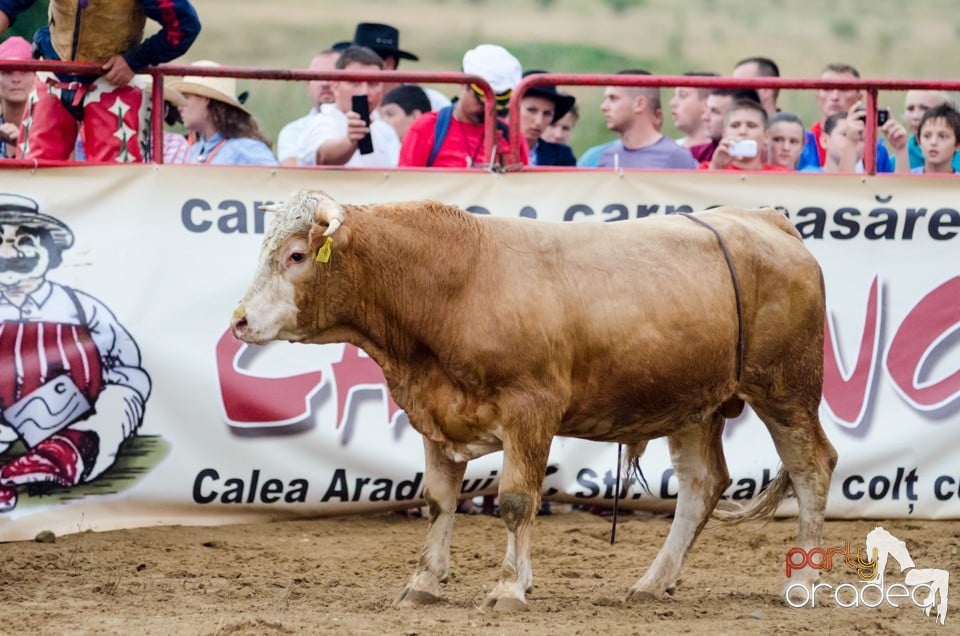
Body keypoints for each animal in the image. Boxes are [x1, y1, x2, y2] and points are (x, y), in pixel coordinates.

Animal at [231, 190, 832, 612]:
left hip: (787, 390)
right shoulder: (437, 413)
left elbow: (517, 501)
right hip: (694, 404)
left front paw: (507, 588)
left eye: (297, 254)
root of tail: (768, 220)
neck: (455, 281)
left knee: (812, 468)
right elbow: (439, 500)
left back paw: (804, 578)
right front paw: (424, 582)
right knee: (702, 484)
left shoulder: (530, 412)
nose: (239, 321)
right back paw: (652, 582)